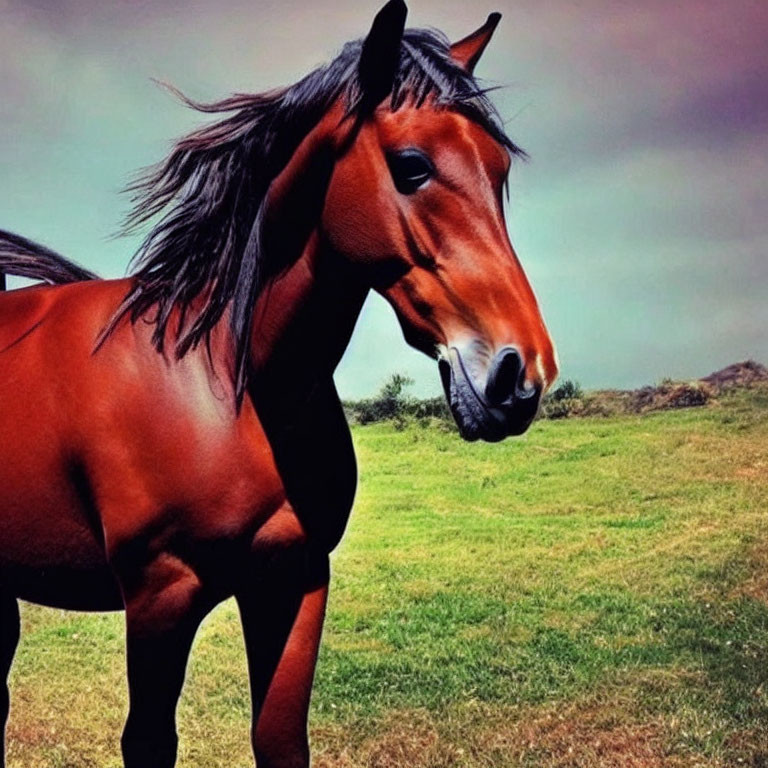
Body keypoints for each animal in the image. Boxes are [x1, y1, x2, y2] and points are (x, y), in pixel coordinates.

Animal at [0, 3, 556, 764]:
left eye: (498, 171)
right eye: (412, 165)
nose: (519, 375)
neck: (232, 383)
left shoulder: (293, 580)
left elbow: (280, 737)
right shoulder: (160, 596)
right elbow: (149, 741)